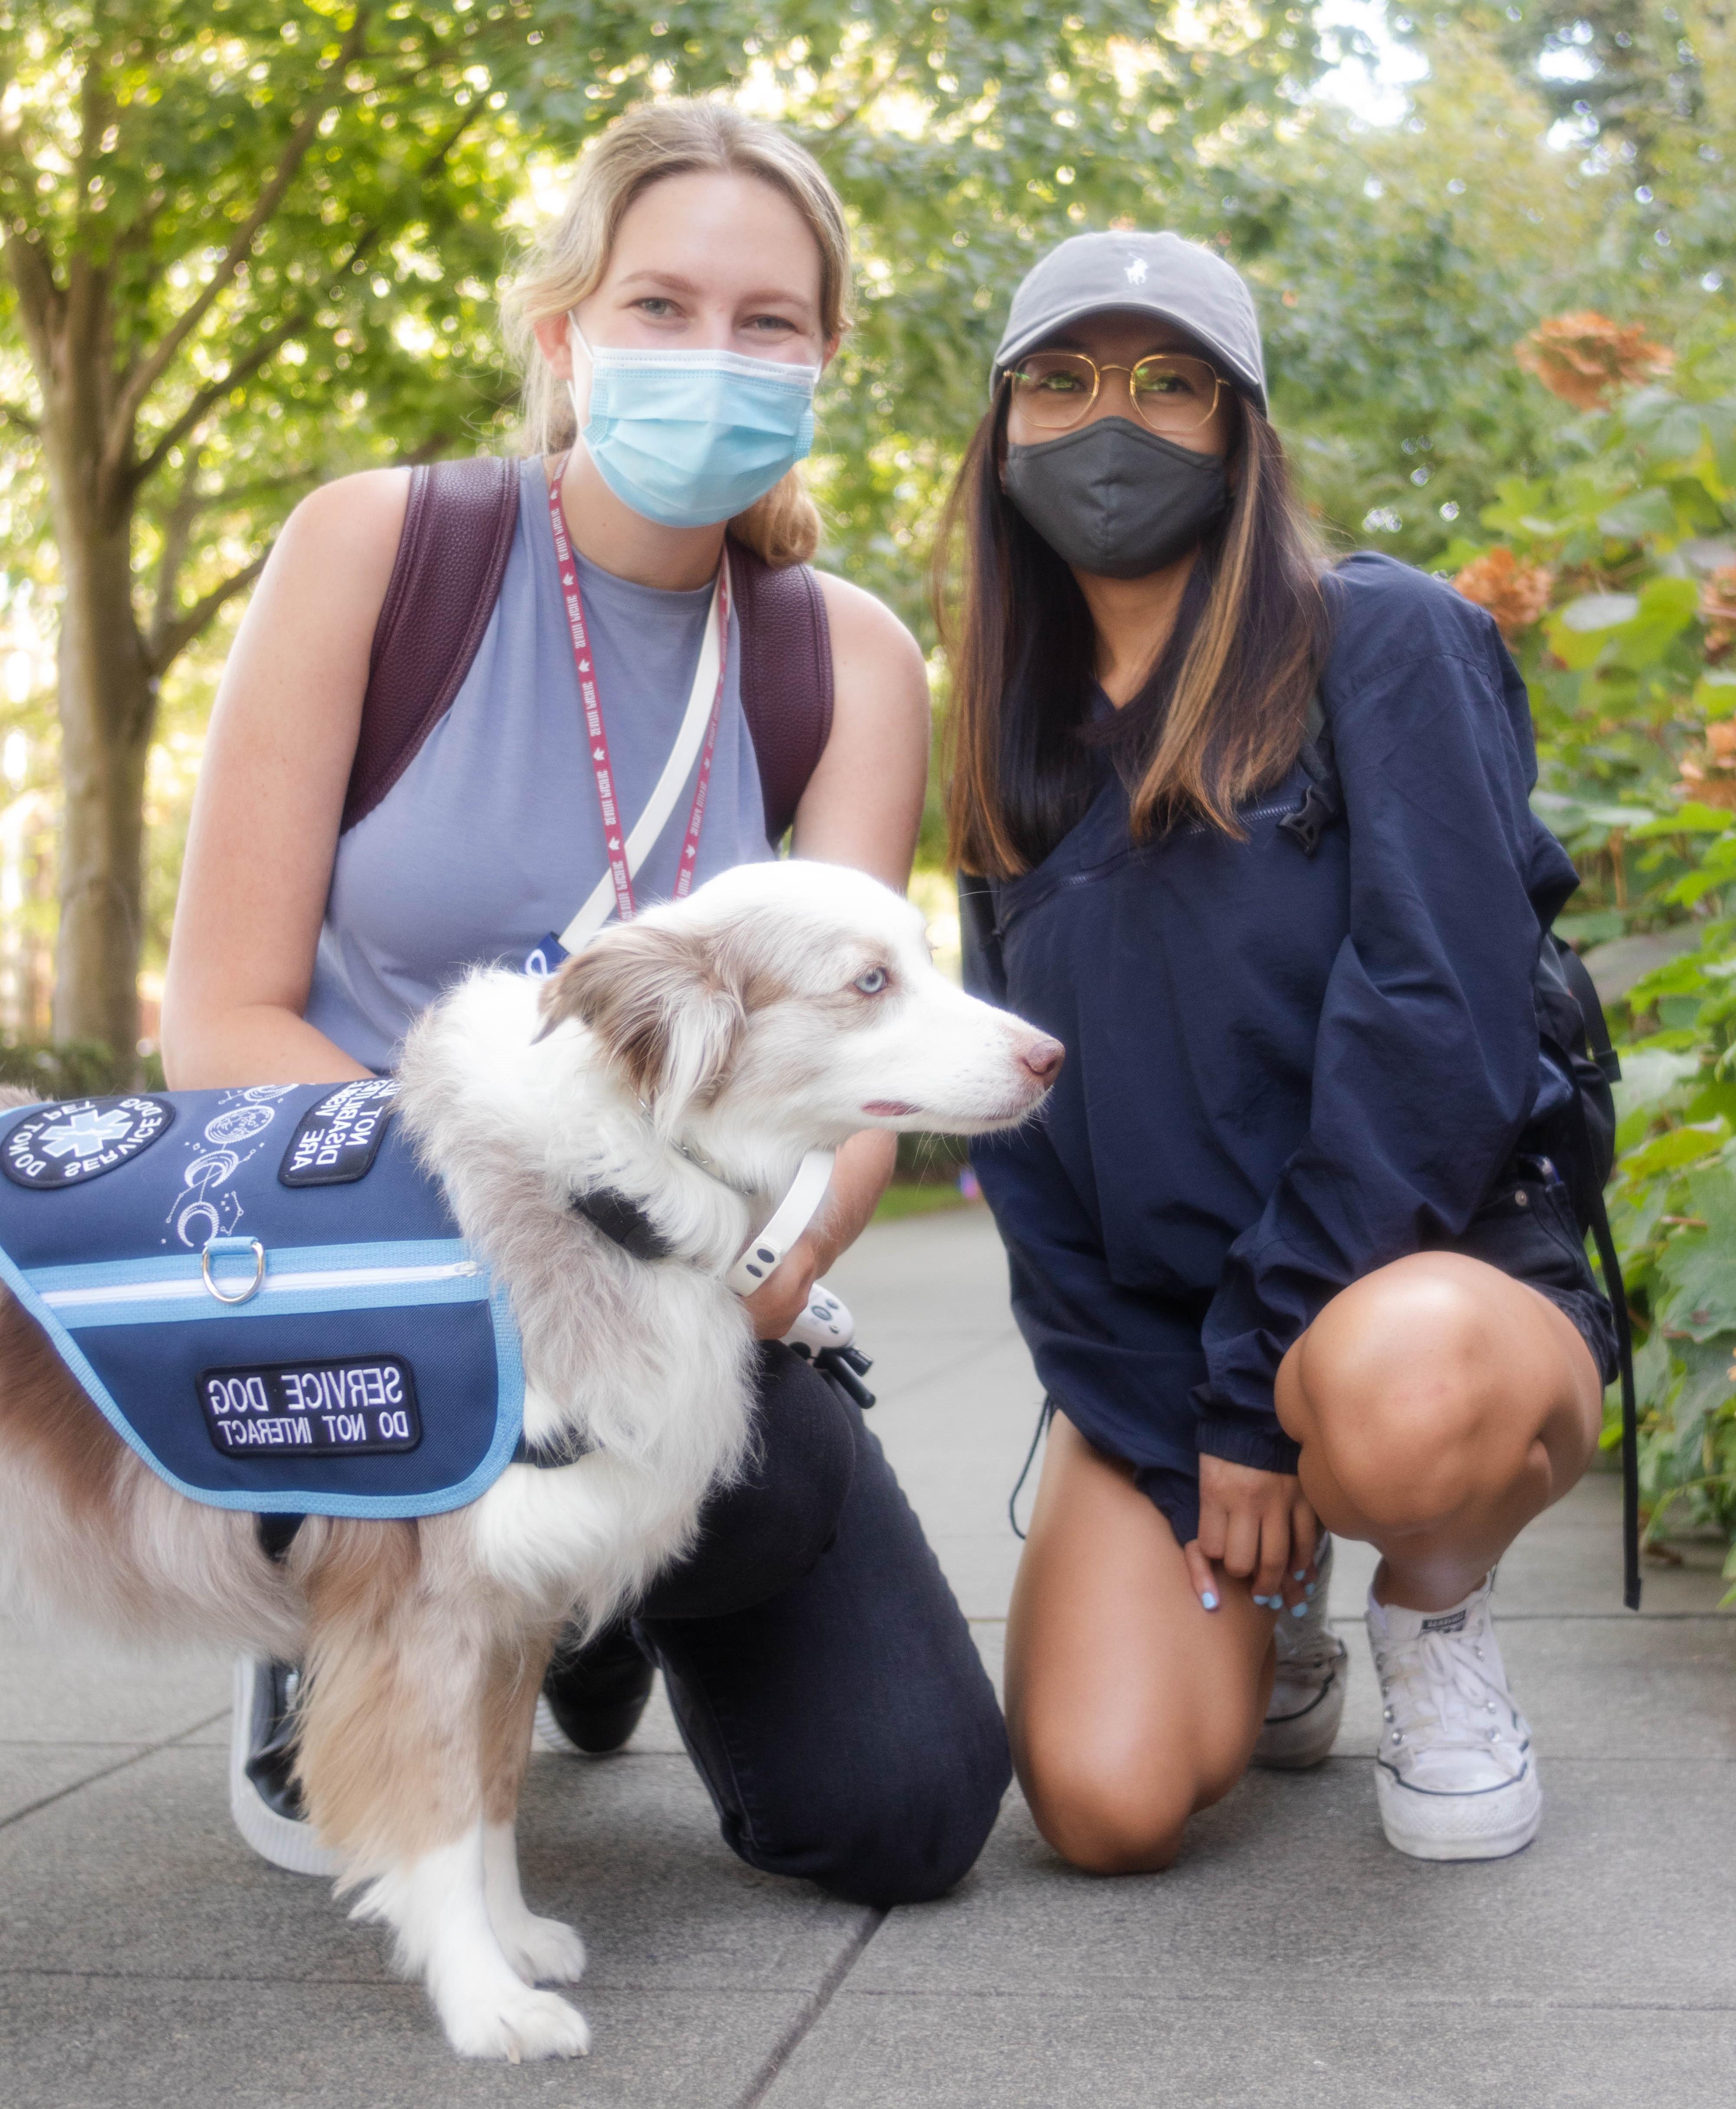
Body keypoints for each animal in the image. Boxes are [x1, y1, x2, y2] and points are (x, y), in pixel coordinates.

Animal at [0, 860, 1059, 2058]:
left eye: (924, 956)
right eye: (870, 981)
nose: (1051, 1056)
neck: (607, 1187)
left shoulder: (513, 1601)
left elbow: (493, 1794)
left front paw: (511, 1937)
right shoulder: (420, 1613)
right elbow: (437, 1813)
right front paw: (483, 2001)